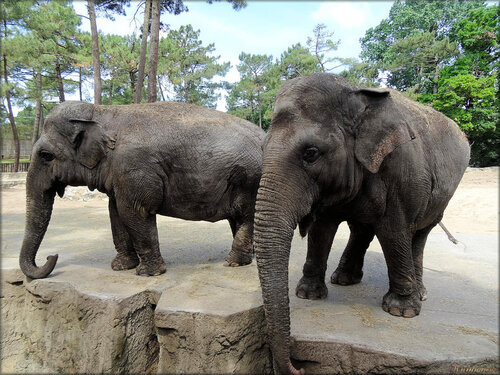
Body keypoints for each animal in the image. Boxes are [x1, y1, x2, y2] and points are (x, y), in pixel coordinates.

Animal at [18, 101, 266, 280]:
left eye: (46, 156)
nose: (52, 255)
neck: (102, 112)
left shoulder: (134, 169)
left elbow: (134, 212)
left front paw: (148, 273)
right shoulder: (120, 176)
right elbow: (115, 213)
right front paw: (121, 267)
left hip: (250, 179)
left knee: (245, 216)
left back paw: (233, 262)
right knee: (237, 218)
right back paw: (251, 256)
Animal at [252, 72, 470, 374]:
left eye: (311, 153)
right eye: (261, 148)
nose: (300, 367)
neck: (356, 95)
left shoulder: (401, 169)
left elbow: (393, 231)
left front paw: (401, 311)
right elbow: (323, 230)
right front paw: (308, 294)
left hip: (441, 197)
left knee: (418, 234)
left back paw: (419, 294)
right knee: (363, 229)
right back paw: (345, 279)